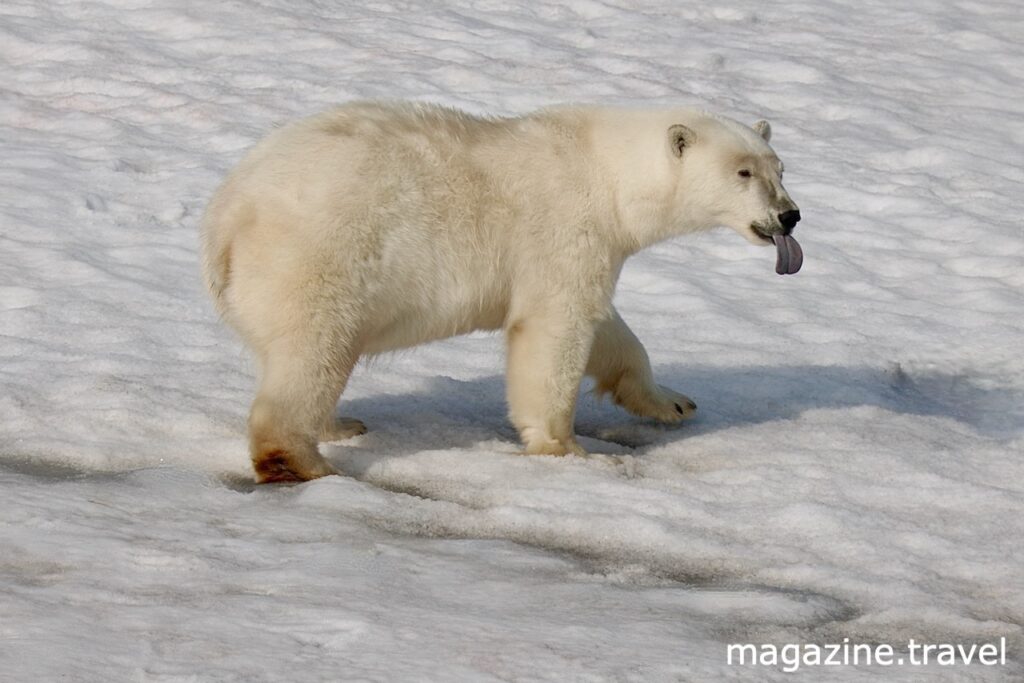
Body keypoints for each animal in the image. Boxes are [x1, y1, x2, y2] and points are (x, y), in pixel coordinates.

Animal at [201, 102, 798, 485]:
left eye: (780, 168)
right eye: (743, 172)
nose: (789, 215)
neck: (606, 173)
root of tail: (227, 216)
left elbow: (608, 328)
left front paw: (671, 401)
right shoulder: (565, 228)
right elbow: (554, 330)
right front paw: (567, 449)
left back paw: (341, 423)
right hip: (320, 258)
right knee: (313, 352)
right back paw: (305, 461)